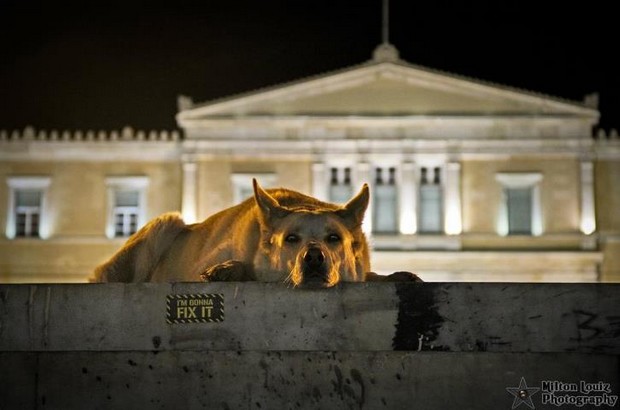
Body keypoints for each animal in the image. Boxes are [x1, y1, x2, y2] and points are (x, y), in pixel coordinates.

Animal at [92, 178, 422, 286]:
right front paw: (230, 269)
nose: (314, 258)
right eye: (291, 238)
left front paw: (394, 275)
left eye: (334, 238)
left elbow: (369, 275)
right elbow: (241, 267)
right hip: (167, 223)